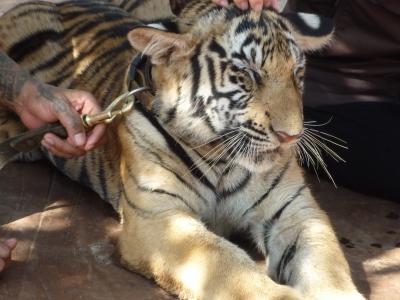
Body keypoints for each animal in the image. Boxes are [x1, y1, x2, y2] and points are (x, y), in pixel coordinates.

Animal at [0, 0, 362, 300]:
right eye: (247, 75)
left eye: (297, 73)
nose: (291, 136)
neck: (222, 156)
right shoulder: (159, 215)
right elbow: (227, 264)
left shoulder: (294, 210)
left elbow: (325, 262)